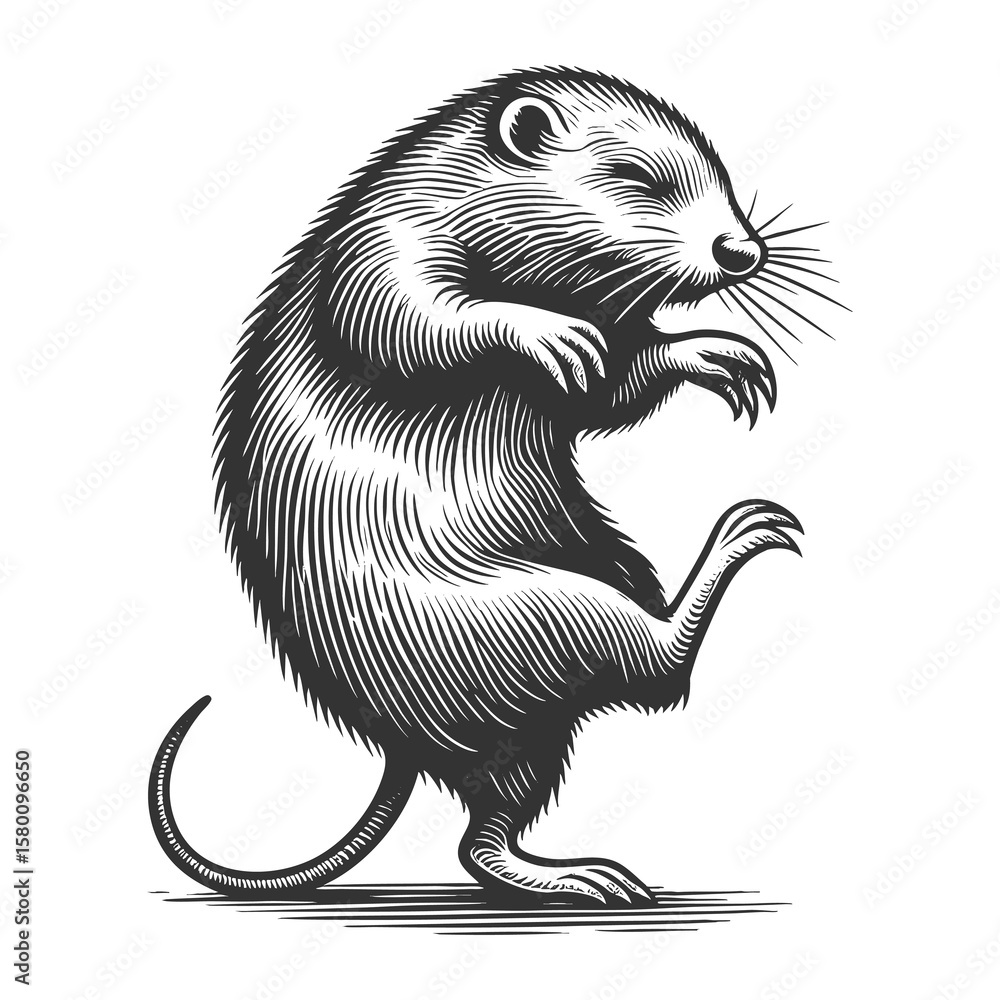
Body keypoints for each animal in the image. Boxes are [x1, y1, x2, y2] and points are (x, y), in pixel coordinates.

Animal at [150, 67, 810, 906]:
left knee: (486, 836)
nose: (742, 250)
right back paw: (747, 531)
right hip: (544, 612)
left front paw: (723, 355)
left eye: (722, 179)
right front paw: (549, 336)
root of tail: (403, 744)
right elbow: (408, 320)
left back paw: (577, 874)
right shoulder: (381, 241)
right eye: (638, 177)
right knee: (652, 664)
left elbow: (613, 388)